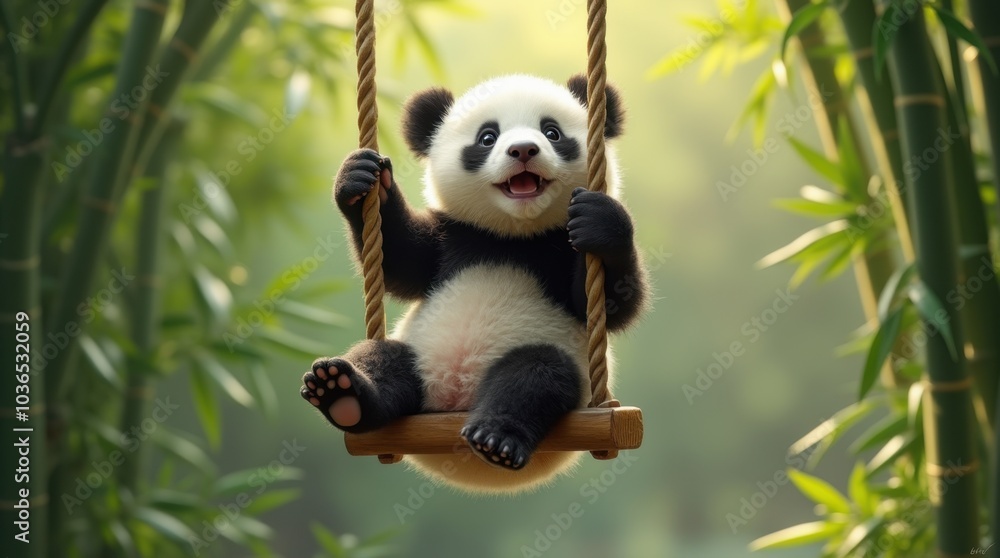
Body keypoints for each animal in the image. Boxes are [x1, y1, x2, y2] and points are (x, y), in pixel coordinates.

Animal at [301, 74, 648, 494]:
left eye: (552, 132)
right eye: (487, 137)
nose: (523, 149)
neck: (512, 236)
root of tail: (455, 409)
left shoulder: (559, 250)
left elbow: (614, 304)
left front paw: (601, 221)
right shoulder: (453, 236)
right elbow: (401, 261)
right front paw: (361, 180)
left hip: (559, 362)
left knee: (537, 375)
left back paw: (496, 438)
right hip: (421, 357)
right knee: (382, 360)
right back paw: (342, 393)